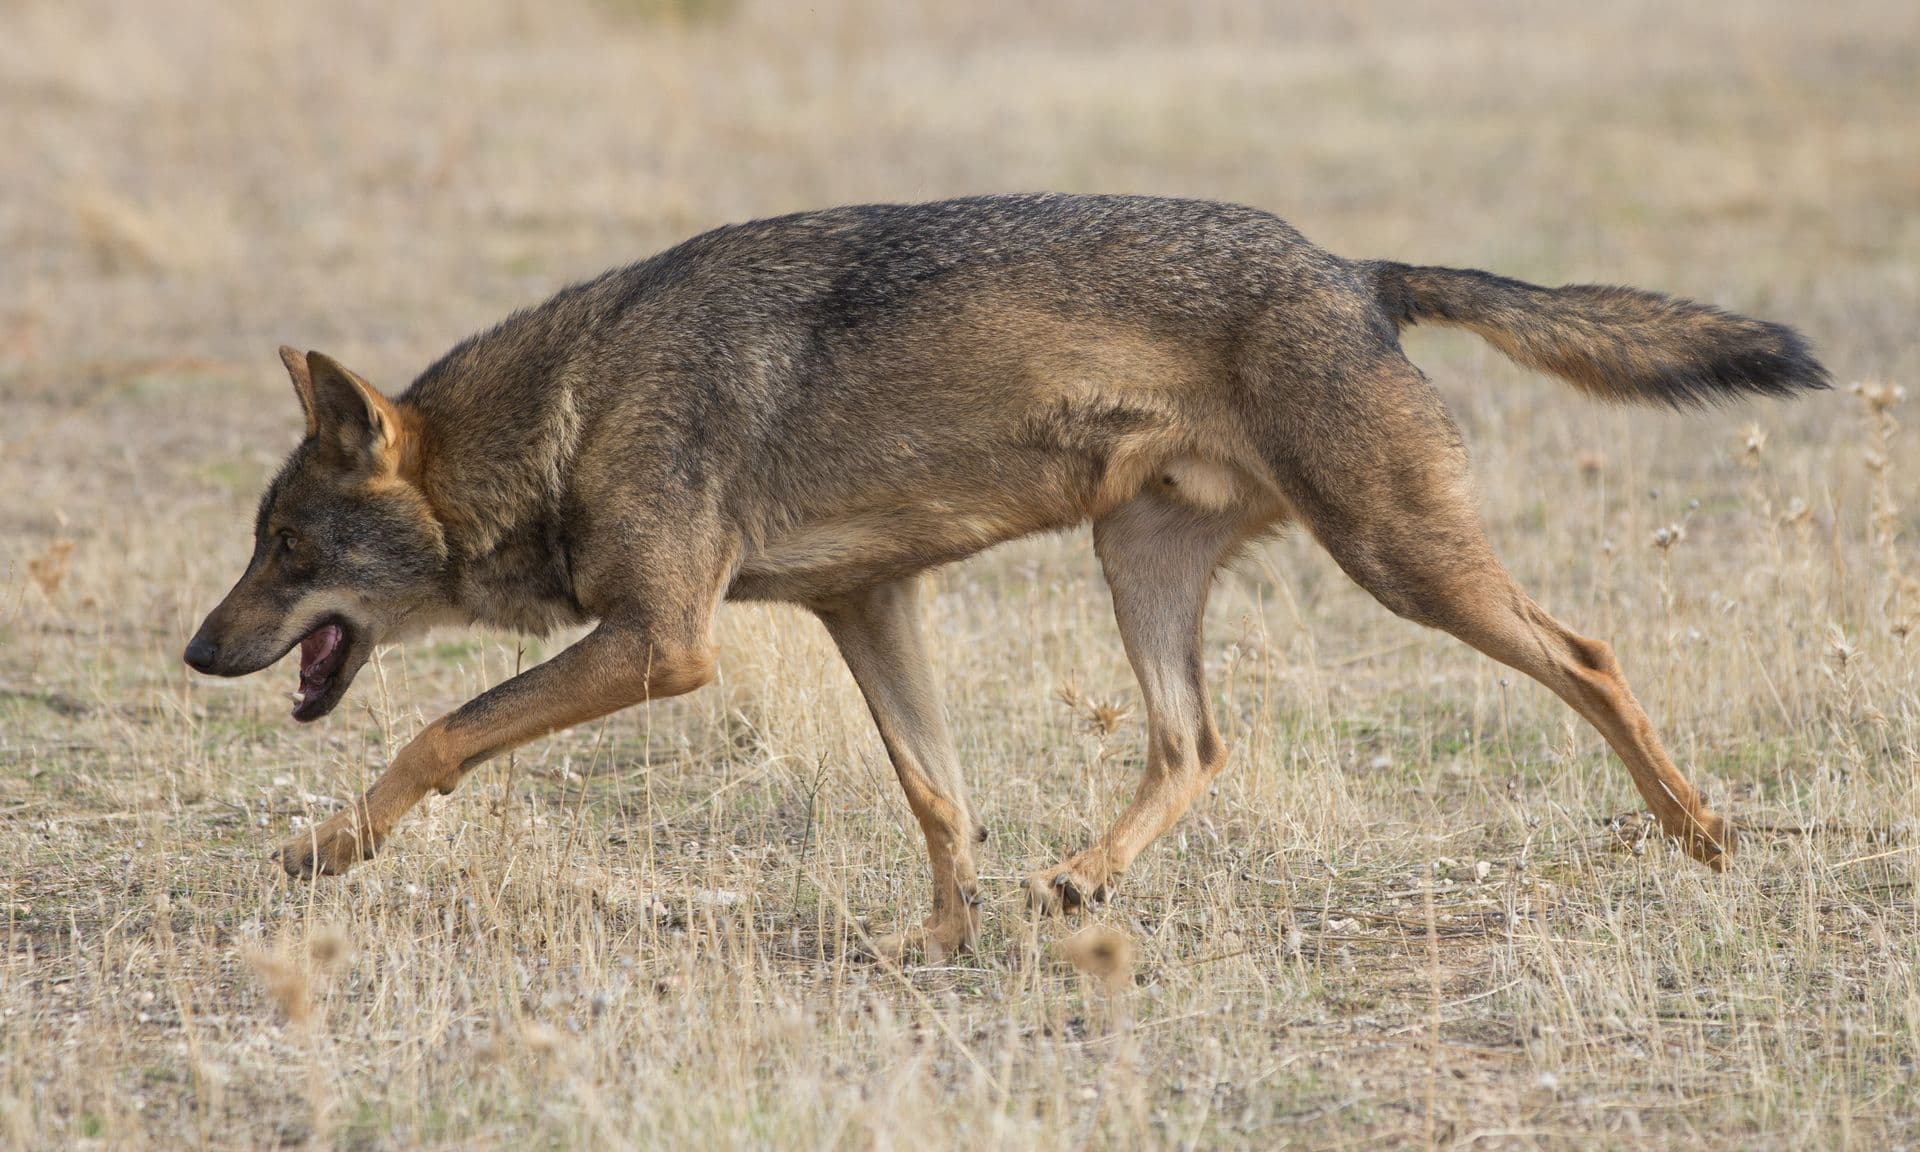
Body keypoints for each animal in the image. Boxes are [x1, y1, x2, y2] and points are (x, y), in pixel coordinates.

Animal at [185, 194, 1826, 958]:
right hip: (1141, 564)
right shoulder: (866, 602)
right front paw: (939, 939)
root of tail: (1359, 271)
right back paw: (1086, 876)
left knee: (1592, 657)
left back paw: (1703, 834)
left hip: (1403, 564)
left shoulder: (662, 644)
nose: (194, 654)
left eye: (288, 551)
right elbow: (939, 796)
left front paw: (326, 851)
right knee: (1197, 740)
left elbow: (437, 732)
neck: (571, 413)